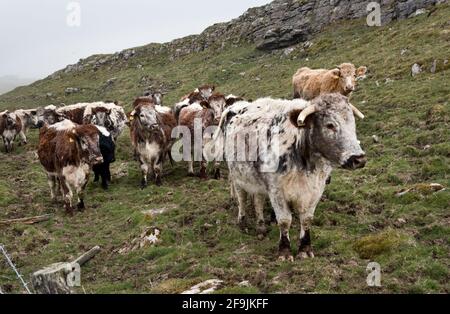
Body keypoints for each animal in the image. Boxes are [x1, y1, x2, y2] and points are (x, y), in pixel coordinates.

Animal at [216, 92, 368, 260]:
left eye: (352, 124)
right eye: (330, 125)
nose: (359, 159)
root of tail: (235, 106)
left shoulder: (315, 190)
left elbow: (307, 219)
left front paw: (305, 249)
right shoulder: (276, 190)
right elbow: (284, 220)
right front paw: (284, 251)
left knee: (258, 200)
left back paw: (261, 226)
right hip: (238, 176)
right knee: (242, 198)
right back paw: (242, 222)